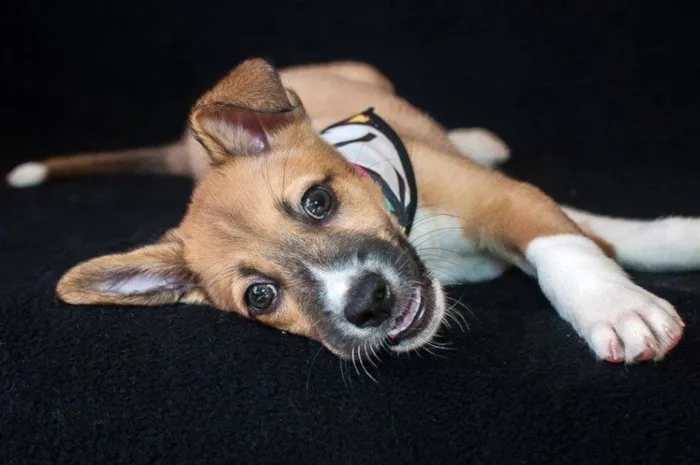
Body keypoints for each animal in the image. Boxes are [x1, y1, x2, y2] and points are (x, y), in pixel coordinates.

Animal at [7, 58, 699, 364]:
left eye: (318, 202)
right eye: (261, 296)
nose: (368, 304)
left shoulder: (504, 198)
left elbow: (577, 242)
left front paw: (617, 305)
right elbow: (590, 234)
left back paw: (476, 137)